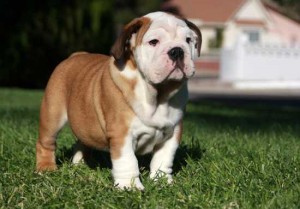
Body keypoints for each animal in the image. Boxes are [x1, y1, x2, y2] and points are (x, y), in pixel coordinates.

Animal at [35, 12, 202, 190]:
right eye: (154, 42)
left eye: (188, 40)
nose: (177, 51)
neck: (158, 94)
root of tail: (76, 55)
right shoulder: (122, 134)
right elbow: (127, 161)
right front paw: (130, 186)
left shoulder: (172, 132)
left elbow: (163, 159)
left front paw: (162, 181)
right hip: (52, 115)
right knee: (46, 142)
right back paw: (46, 169)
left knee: (82, 141)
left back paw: (80, 165)